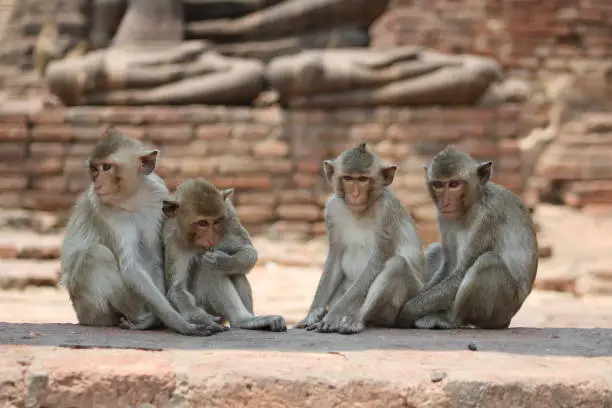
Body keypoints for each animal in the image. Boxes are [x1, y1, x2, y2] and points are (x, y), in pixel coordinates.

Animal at [59, 129, 220, 336]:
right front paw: (180, 323)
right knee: (97, 255)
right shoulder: (104, 211)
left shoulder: (157, 198)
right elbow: (131, 268)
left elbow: (154, 258)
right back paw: (145, 319)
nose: (98, 184)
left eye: (107, 167)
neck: (131, 198)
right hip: (89, 310)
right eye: (95, 169)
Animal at [163, 178, 286, 332]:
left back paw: (247, 320)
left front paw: (221, 261)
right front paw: (202, 318)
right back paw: (242, 320)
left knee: (229, 270)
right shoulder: (172, 237)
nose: (211, 239)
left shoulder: (229, 215)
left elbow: (248, 250)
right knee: (207, 269)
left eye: (217, 221)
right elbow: (177, 288)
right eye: (202, 223)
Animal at [294, 142, 424, 334]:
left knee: (397, 265)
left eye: (363, 179)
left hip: (399, 307)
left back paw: (356, 320)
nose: (355, 195)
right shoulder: (333, 209)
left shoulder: (386, 211)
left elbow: (378, 260)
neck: (360, 211)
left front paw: (333, 314)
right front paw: (313, 314)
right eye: (348, 178)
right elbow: (335, 257)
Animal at [396, 145, 536, 330]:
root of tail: (508, 321)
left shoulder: (486, 217)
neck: (472, 204)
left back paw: (450, 320)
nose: (445, 202)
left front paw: (406, 311)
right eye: (438, 185)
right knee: (437, 250)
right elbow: (450, 266)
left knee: (488, 262)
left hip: (503, 310)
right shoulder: (444, 217)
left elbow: (460, 274)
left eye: (454, 184)